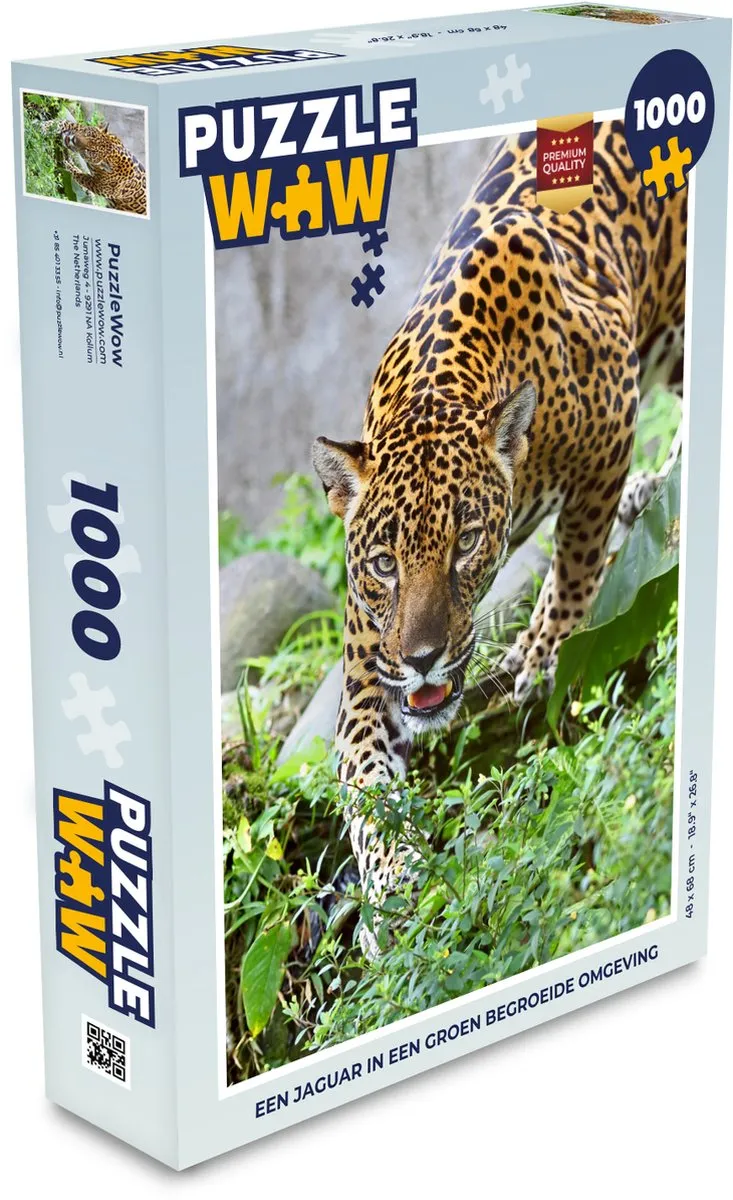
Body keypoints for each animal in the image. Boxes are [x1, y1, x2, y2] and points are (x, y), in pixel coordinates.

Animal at [313, 121, 686, 954]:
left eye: (464, 544)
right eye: (383, 562)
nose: (422, 660)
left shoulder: (611, 419)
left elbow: (576, 556)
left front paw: (542, 654)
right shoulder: (363, 663)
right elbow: (364, 778)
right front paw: (393, 890)